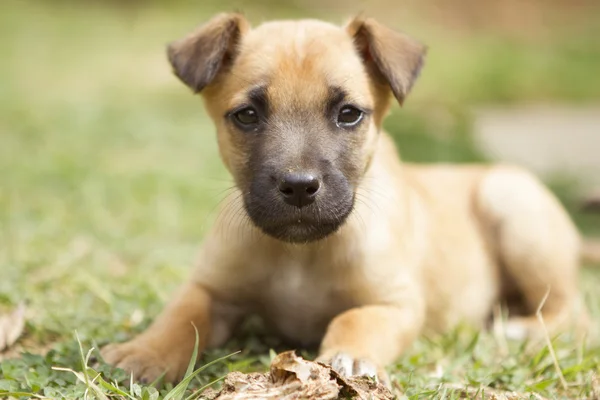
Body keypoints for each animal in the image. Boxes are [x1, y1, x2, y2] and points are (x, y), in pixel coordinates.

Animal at [101, 14, 588, 384]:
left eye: (349, 114)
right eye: (247, 115)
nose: (299, 186)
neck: (301, 255)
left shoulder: (397, 304)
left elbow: (354, 318)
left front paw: (349, 356)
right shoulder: (211, 287)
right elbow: (181, 316)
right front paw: (143, 352)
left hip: (511, 204)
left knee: (574, 312)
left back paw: (519, 331)